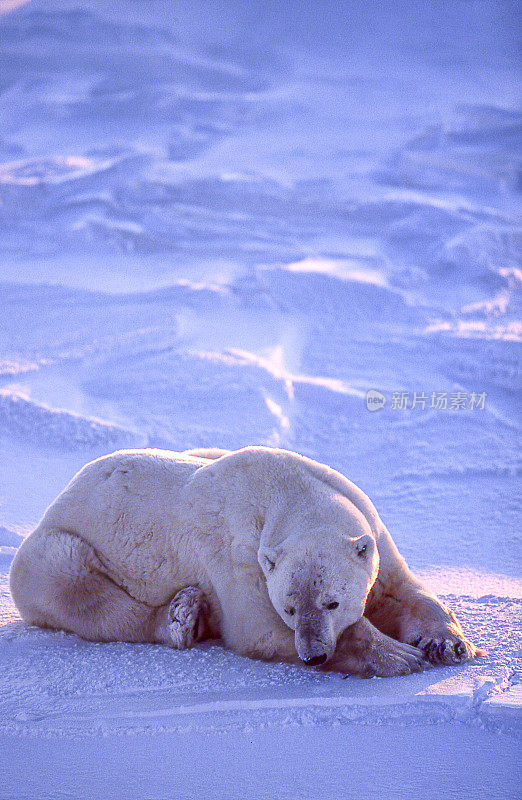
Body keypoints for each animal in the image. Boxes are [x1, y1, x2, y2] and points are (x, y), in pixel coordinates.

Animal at [8, 446, 482, 680]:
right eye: (290, 608)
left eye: (332, 602)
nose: (313, 656)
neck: (288, 489)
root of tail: (55, 501)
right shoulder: (235, 554)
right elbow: (256, 629)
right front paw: (399, 655)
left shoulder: (370, 528)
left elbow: (399, 589)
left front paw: (447, 644)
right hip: (54, 550)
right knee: (80, 592)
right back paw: (181, 617)